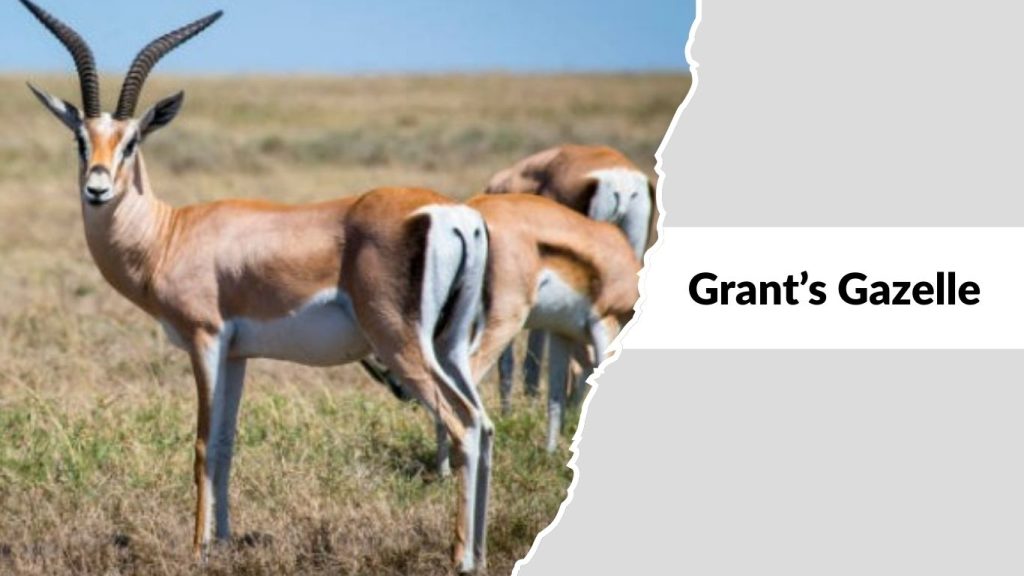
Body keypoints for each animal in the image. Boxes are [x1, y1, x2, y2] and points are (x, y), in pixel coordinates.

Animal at [20, 2, 493, 572]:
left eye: (131, 142)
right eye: (81, 139)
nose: (97, 187)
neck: (170, 234)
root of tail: (450, 214)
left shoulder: (204, 339)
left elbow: (202, 443)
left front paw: (197, 548)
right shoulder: (238, 354)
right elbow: (226, 443)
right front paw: (221, 542)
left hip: (401, 344)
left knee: (462, 425)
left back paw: (460, 557)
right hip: (451, 346)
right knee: (485, 424)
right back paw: (482, 553)